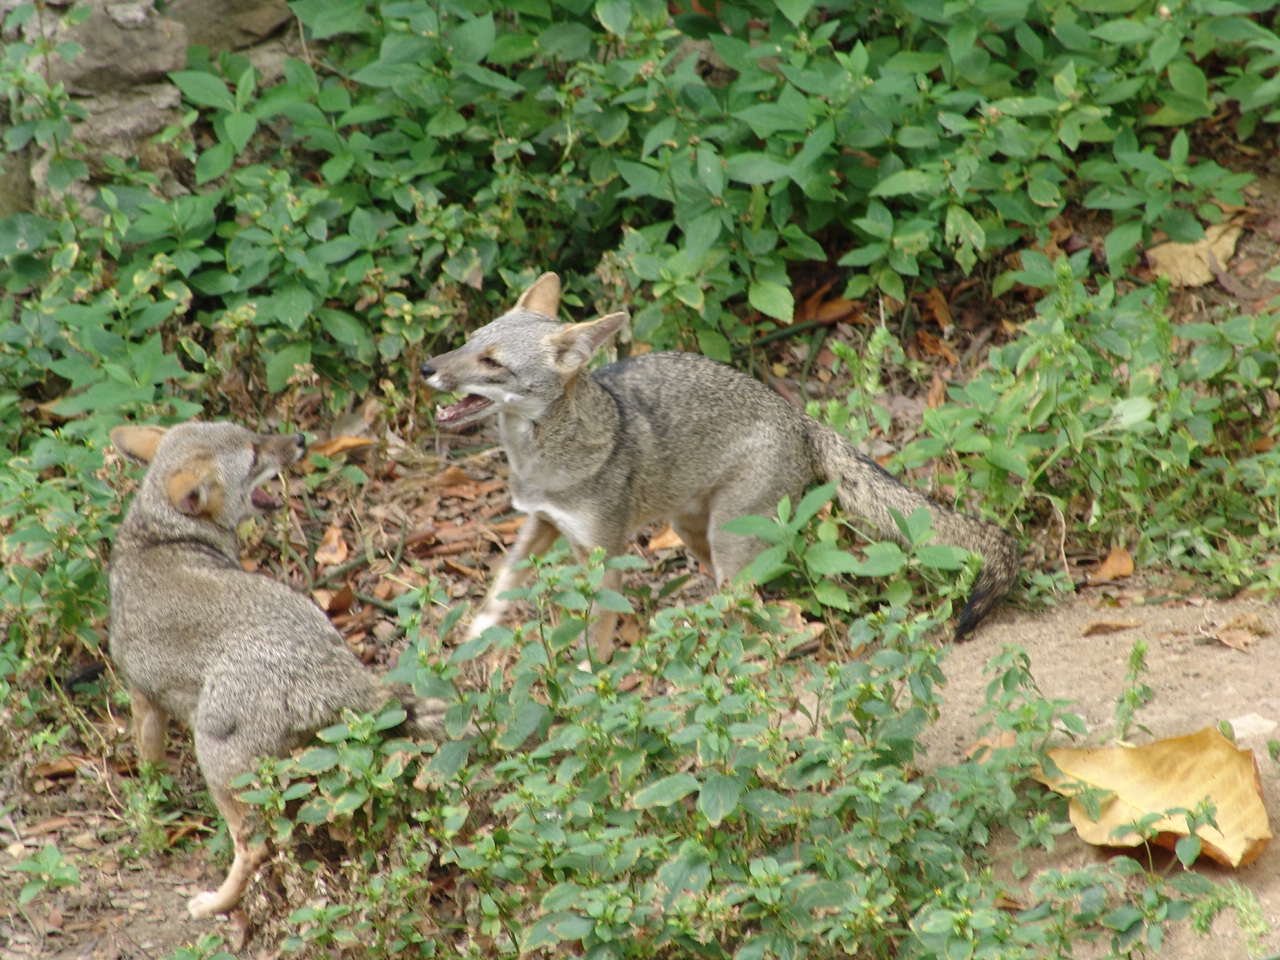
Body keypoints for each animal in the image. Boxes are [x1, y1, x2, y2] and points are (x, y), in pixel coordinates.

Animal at [108, 421, 456, 920]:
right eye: (254, 450)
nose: (301, 440)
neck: (161, 535)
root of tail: (330, 666)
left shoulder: (142, 694)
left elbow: (149, 766)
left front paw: (152, 805)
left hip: (215, 756)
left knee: (255, 846)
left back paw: (216, 903)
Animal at [421, 273, 1019, 660]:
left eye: (492, 363)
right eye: (467, 344)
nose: (427, 367)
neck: (542, 462)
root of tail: (797, 415)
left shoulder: (604, 552)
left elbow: (596, 628)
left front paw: (592, 684)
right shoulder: (539, 522)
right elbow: (500, 587)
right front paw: (472, 637)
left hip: (727, 542)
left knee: (750, 606)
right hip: (691, 530)